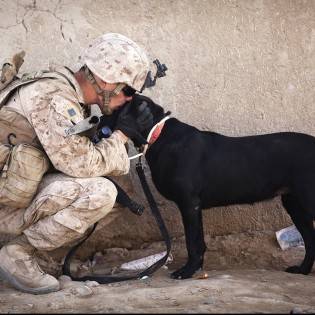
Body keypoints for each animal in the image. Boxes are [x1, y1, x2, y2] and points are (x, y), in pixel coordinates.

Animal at [121, 95, 315, 280]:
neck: (158, 133)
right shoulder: (194, 207)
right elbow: (199, 241)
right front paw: (195, 268)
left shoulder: (189, 204)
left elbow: (192, 242)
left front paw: (187, 271)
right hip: (294, 205)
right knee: (310, 241)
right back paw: (302, 270)